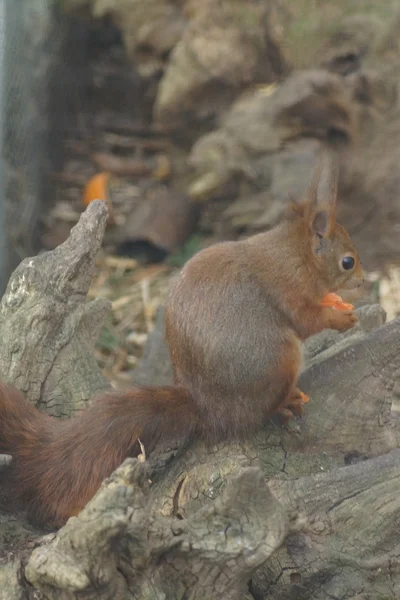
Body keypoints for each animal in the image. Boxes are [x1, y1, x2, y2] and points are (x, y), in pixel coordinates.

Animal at [0, 155, 362, 524]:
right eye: (347, 262)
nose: (362, 282)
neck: (298, 254)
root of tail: (206, 408)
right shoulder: (290, 289)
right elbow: (306, 320)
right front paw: (341, 317)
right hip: (280, 358)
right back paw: (285, 403)